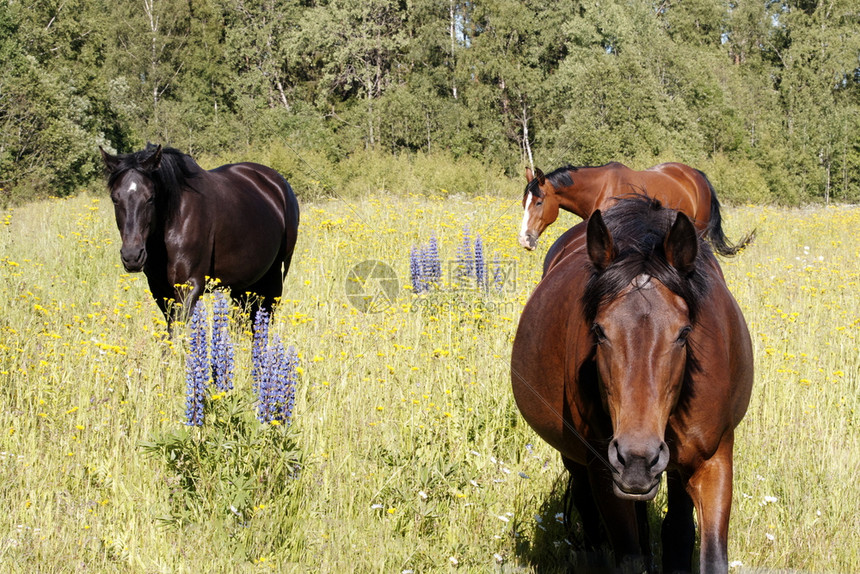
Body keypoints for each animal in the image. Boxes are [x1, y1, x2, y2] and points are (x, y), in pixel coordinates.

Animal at [100, 145, 298, 328]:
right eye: (115, 198)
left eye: (150, 198)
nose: (132, 256)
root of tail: (279, 184)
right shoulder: (159, 288)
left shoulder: (190, 285)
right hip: (245, 283)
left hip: (275, 276)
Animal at [510, 196, 752, 572]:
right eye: (598, 331)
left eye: (684, 333)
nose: (637, 459)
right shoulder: (604, 469)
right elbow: (629, 555)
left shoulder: (714, 461)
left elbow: (702, 550)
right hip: (579, 459)